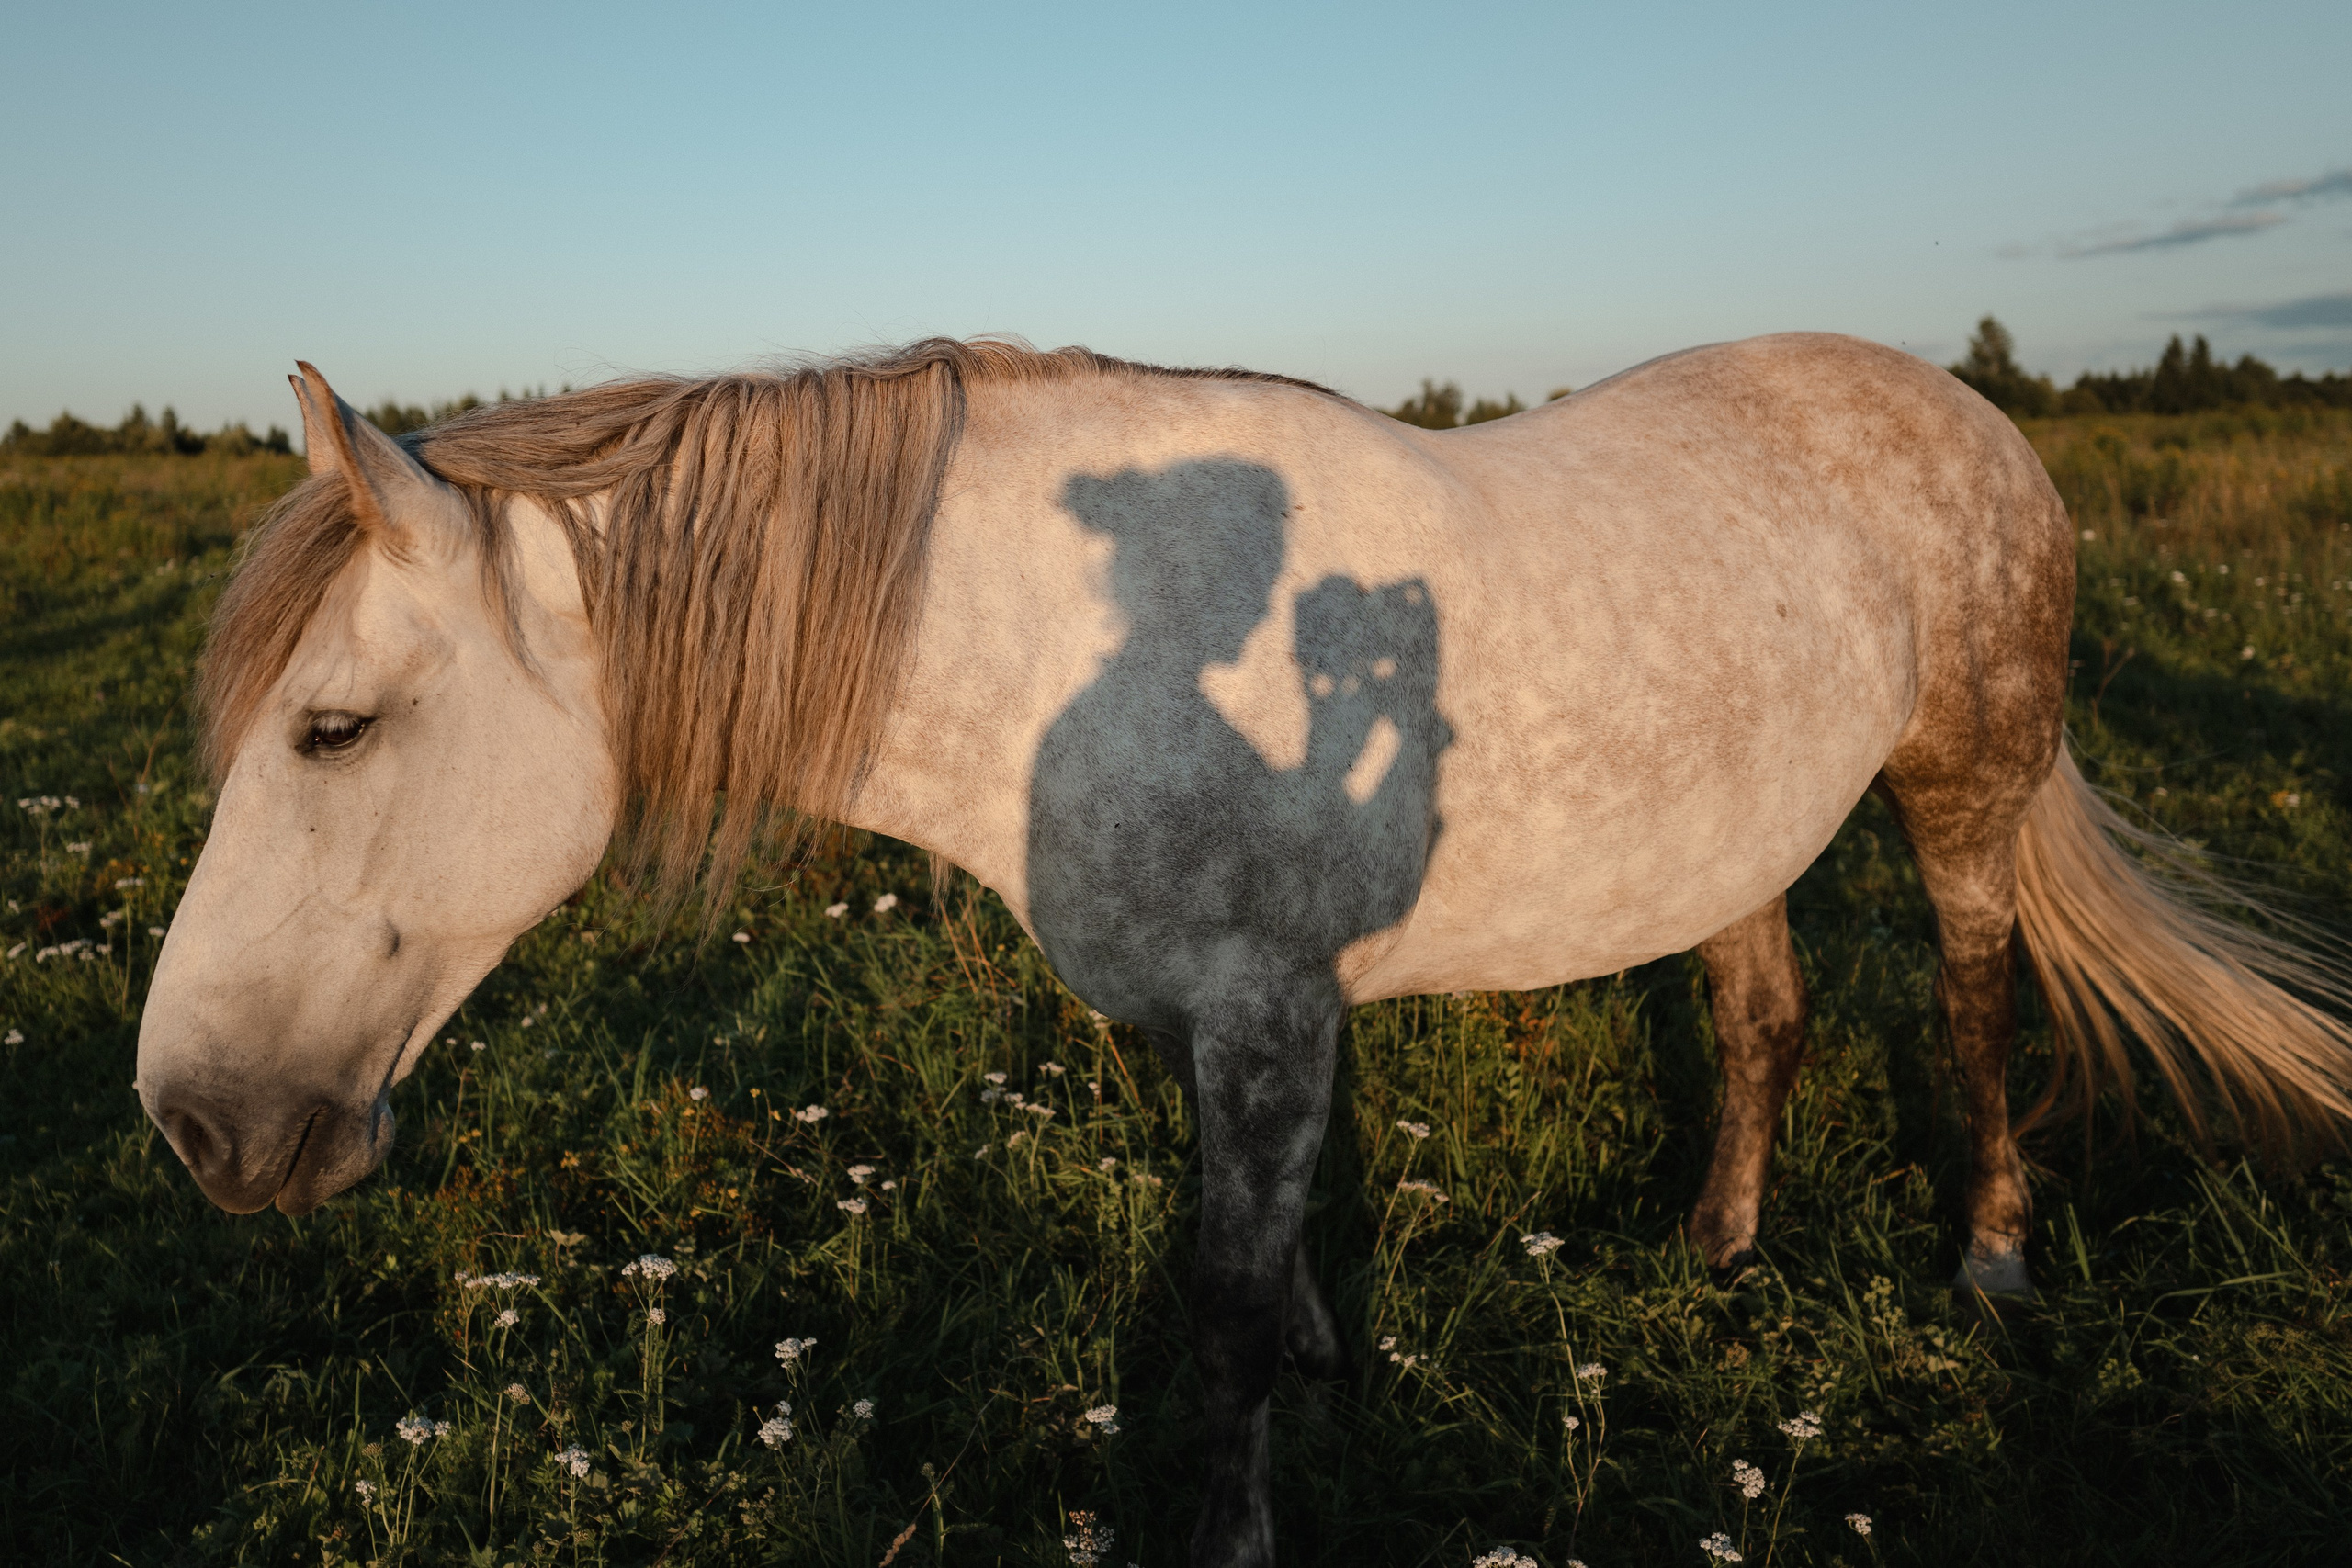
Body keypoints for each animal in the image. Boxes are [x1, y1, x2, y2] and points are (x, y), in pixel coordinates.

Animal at [136, 333, 2352, 1566]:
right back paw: (1716, 1252)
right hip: (1743, 829)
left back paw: (1988, 1259)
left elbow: (1210, 1311)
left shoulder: (1266, 1013)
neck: (1072, 654)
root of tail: (1963, 410)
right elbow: (1263, 1263)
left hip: (1962, 783)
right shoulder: (1252, 1031)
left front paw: (1237, 1514)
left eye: (331, 729)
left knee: (1975, 1003)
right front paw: (1324, 1363)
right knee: (1760, 1012)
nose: (198, 1124)